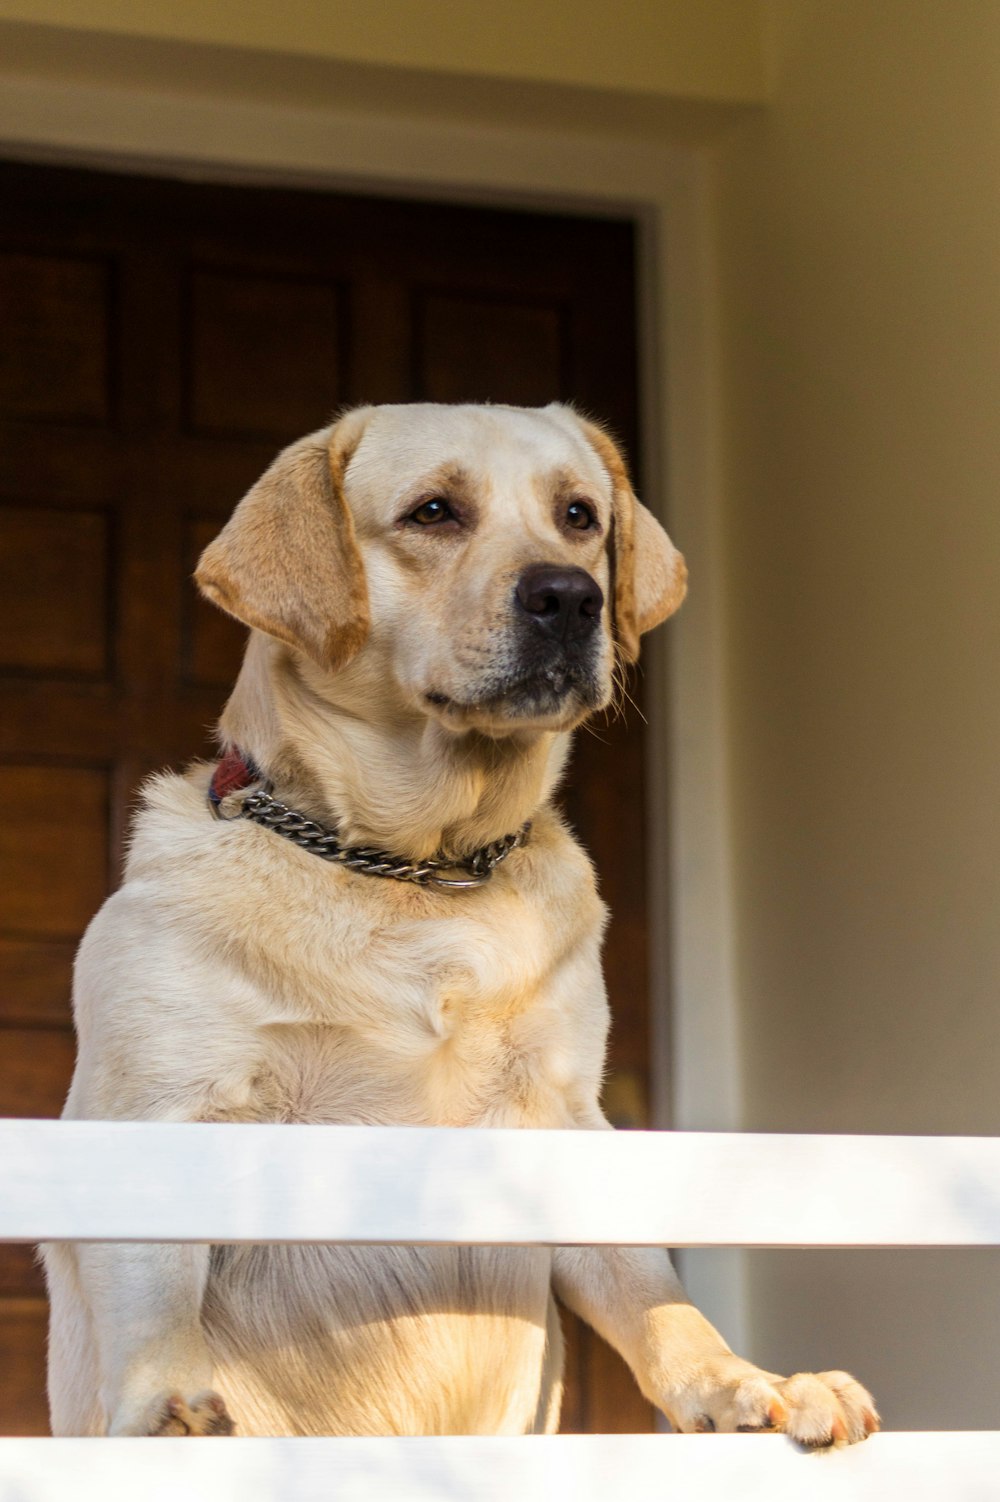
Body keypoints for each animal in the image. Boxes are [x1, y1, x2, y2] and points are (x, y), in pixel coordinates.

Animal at [44, 402, 870, 1441]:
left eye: (580, 516)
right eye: (434, 511)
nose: (570, 598)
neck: (418, 872)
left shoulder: (560, 1114)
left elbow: (653, 1293)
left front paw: (734, 1380)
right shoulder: (163, 1109)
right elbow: (155, 1299)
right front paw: (167, 1410)